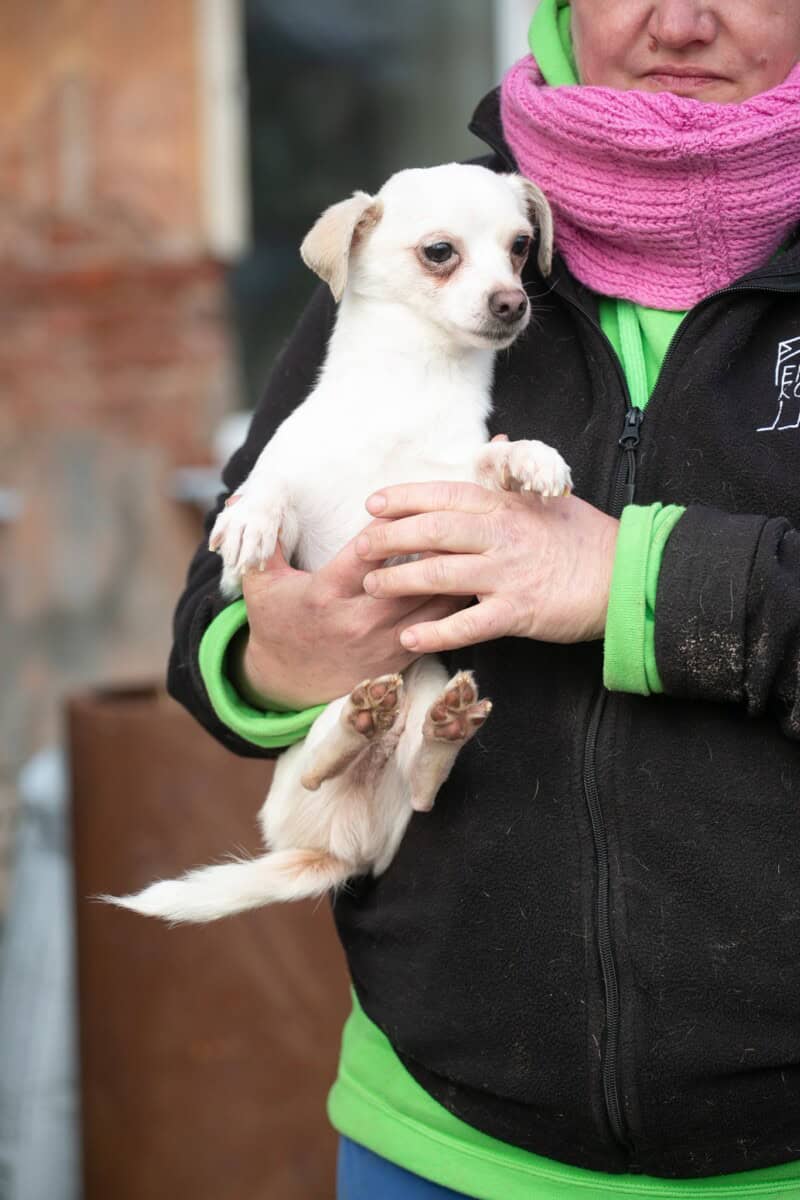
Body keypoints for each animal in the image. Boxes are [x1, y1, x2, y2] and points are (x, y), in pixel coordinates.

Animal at [106, 163, 571, 923]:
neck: (412, 386)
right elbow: (268, 489)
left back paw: (439, 727)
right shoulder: (285, 493)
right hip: (312, 736)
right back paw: (358, 724)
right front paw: (250, 519)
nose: (512, 303)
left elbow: (489, 463)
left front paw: (530, 459)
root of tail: (339, 852)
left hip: (424, 687)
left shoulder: (446, 483)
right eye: (439, 252)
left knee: (421, 780)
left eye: (521, 246)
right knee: (322, 758)